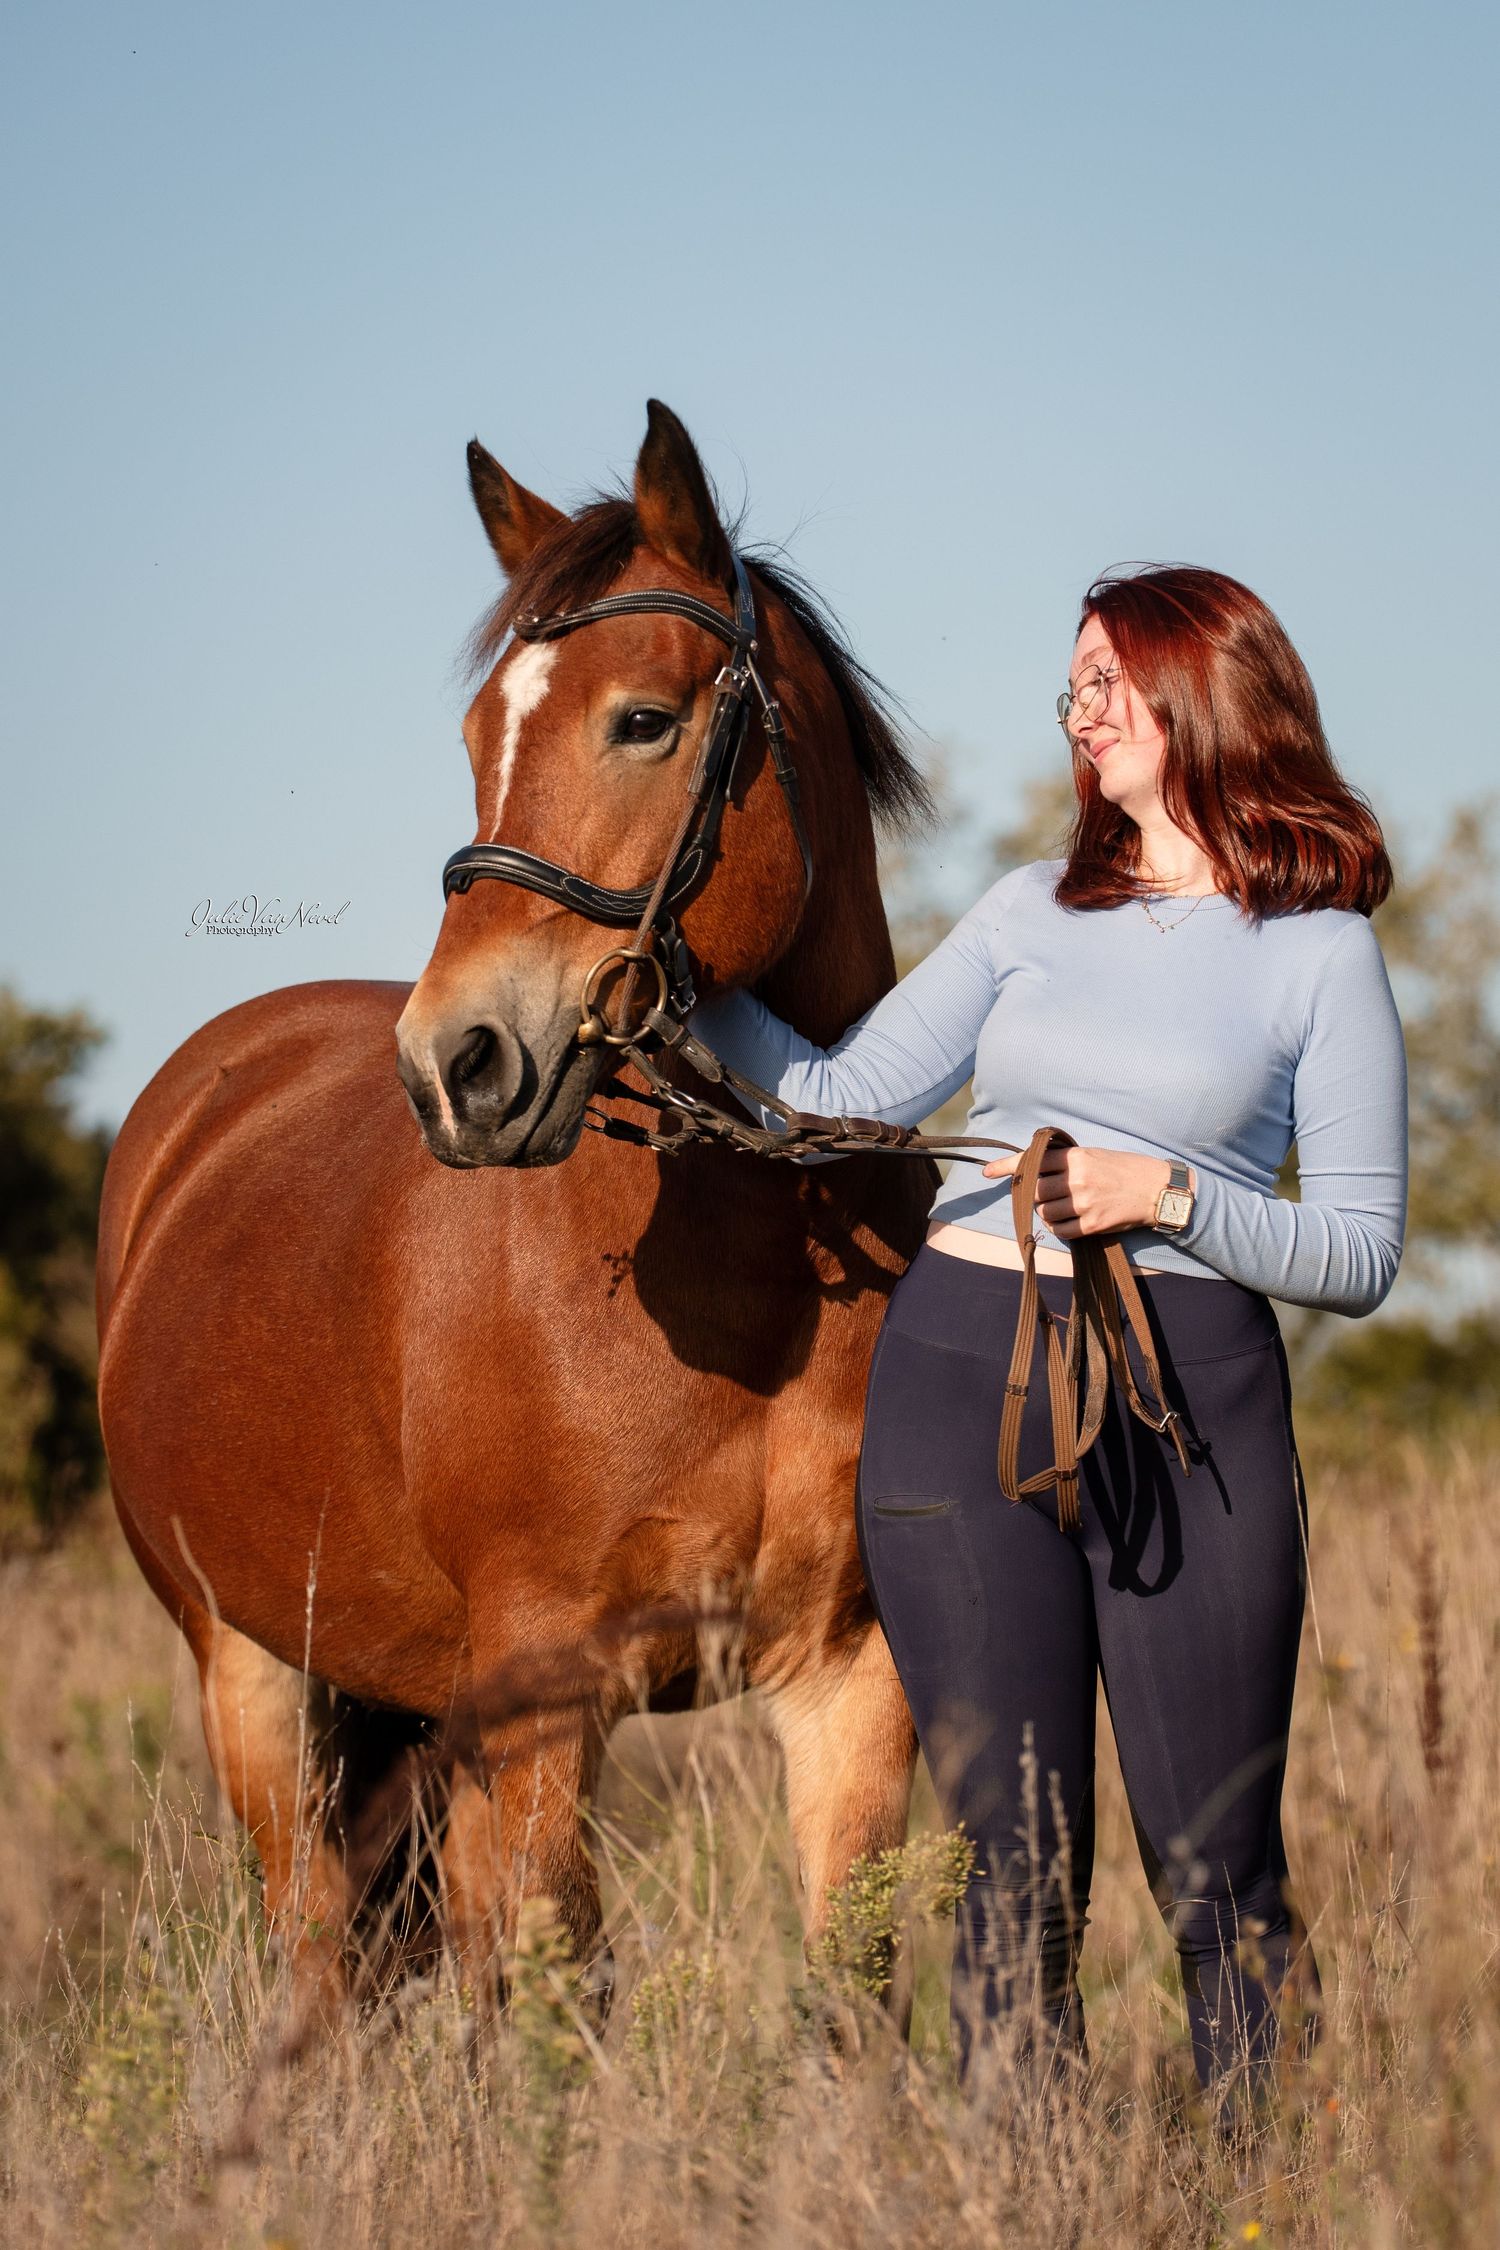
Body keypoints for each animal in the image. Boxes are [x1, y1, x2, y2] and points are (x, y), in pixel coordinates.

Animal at [95, 400, 937, 2012]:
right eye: (481, 734)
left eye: (644, 720)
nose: (456, 1064)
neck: (755, 1287)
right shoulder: (548, 1697)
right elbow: (560, 1997)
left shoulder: (848, 1678)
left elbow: (847, 1990)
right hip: (256, 1684)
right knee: (327, 1960)